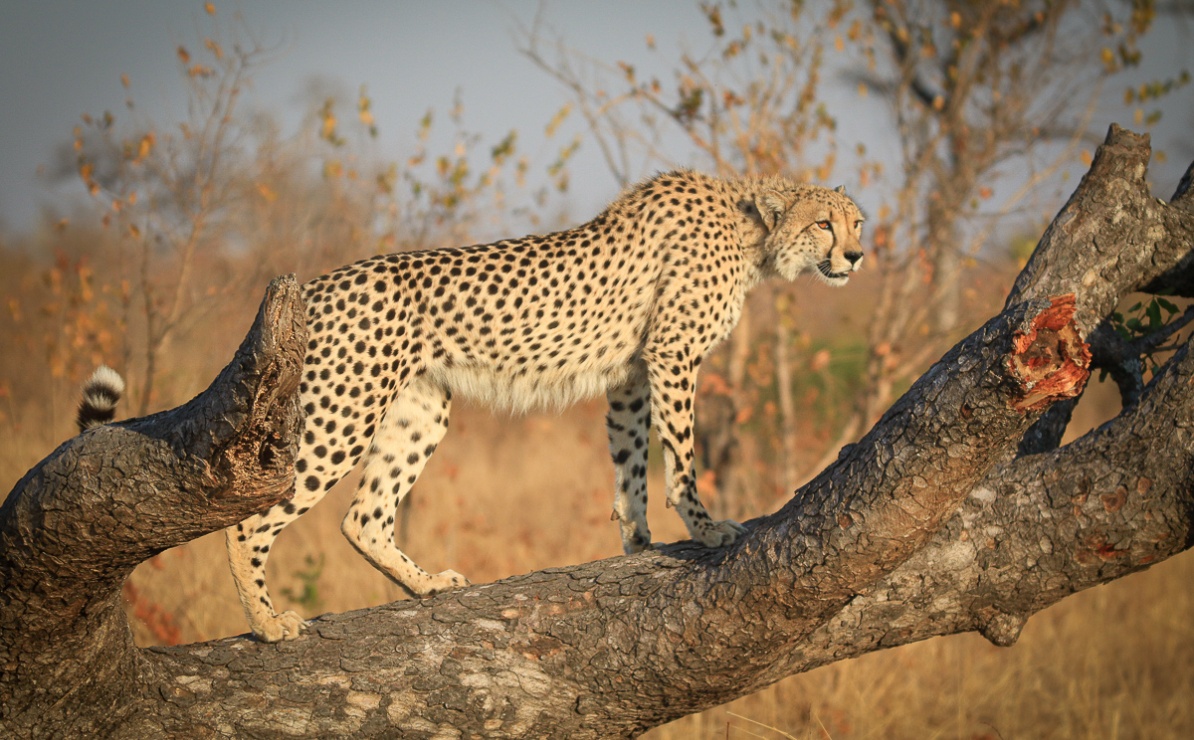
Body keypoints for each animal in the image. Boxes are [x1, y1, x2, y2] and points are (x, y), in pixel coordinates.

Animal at [78, 169, 864, 642]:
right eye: (825, 224)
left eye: (857, 222)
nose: (858, 257)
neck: (753, 229)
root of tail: (323, 281)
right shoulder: (671, 358)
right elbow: (683, 460)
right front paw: (706, 528)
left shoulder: (631, 376)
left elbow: (630, 464)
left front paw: (638, 543)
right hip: (343, 414)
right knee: (251, 522)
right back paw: (270, 624)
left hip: (419, 412)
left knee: (364, 518)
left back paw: (425, 585)